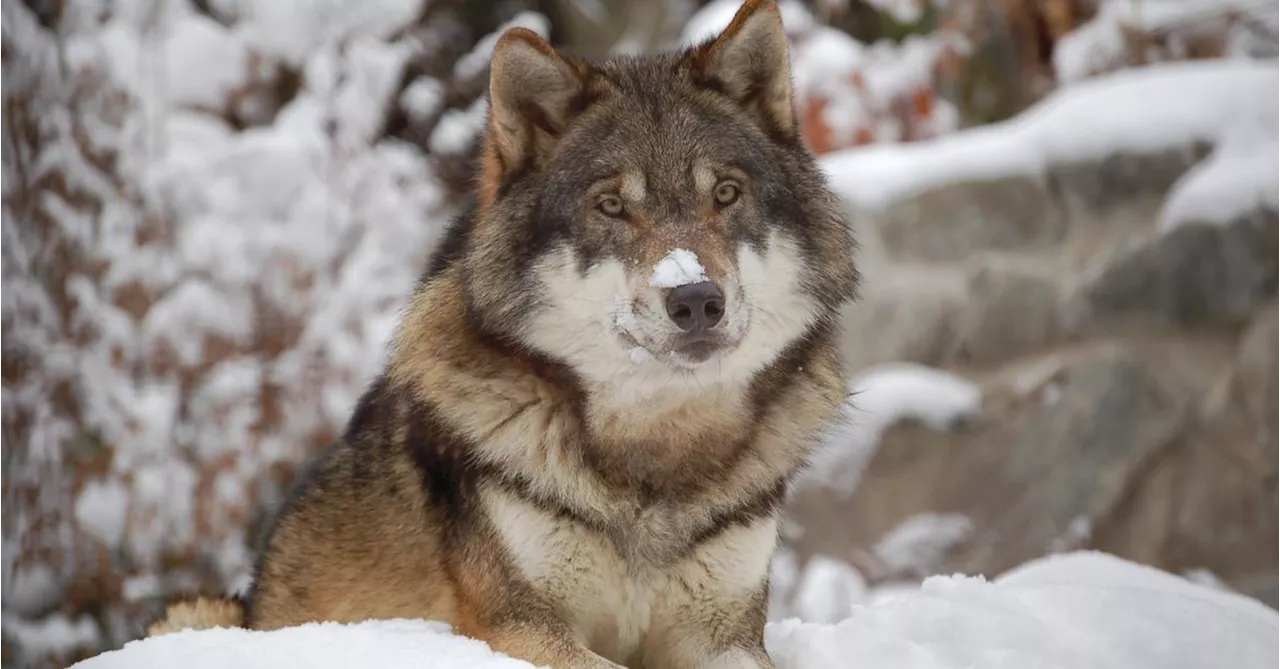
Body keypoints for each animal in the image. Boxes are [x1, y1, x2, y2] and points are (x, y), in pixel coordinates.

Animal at [145, 1, 855, 665]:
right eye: (611, 206)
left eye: (726, 195)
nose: (697, 299)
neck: (653, 460)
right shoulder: (515, 625)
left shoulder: (725, 636)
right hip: (194, 614)